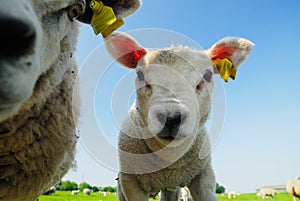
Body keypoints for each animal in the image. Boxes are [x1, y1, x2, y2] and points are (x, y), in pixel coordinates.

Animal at [105, 31, 253, 201]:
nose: (170, 119)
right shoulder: (130, 182)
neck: (169, 160)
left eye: (208, 75)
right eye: (140, 75)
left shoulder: (203, 175)